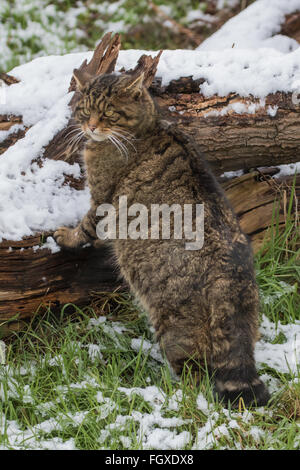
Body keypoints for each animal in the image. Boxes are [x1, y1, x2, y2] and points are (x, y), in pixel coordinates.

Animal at [54, 71, 270, 406]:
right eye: (85, 109)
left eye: (107, 113)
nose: (90, 126)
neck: (147, 125)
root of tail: (229, 275)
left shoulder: (102, 200)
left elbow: (86, 227)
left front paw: (67, 236)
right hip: (248, 319)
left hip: (175, 327)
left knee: (195, 376)